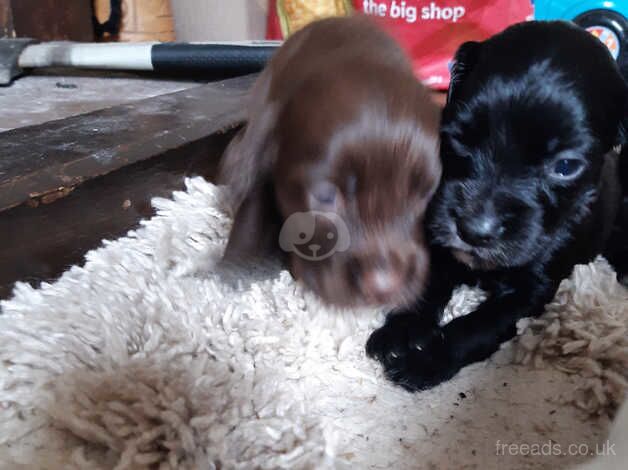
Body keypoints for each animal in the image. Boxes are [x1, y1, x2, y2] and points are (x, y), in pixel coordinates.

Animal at [366, 20, 624, 392]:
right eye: (458, 137)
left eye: (565, 166)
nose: (474, 231)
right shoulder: (440, 243)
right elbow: (428, 281)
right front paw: (402, 330)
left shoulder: (532, 289)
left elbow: (481, 324)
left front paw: (426, 359)